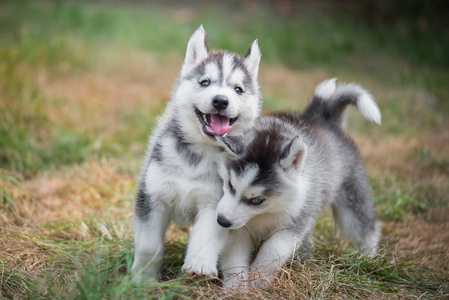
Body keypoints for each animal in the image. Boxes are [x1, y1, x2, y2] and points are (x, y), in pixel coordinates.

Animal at [130, 26, 262, 282]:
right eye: (205, 82)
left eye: (238, 89)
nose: (220, 101)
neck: (200, 151)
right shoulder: (152, 196)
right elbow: (149, 245)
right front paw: (143, 278)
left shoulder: (216, 203)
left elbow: (205, 237)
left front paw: (199, 265)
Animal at [215, 78, 380, 288]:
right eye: (230, 185)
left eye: (257, 200)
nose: (221, 221)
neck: (266, 212)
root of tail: (320, 119)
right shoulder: (238, 228)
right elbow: (235, 256)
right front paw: (235, 287)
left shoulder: (293, 223)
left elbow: (273, 249)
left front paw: (258, 281)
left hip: (351, 196)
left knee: (365, 227)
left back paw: (369, 259)